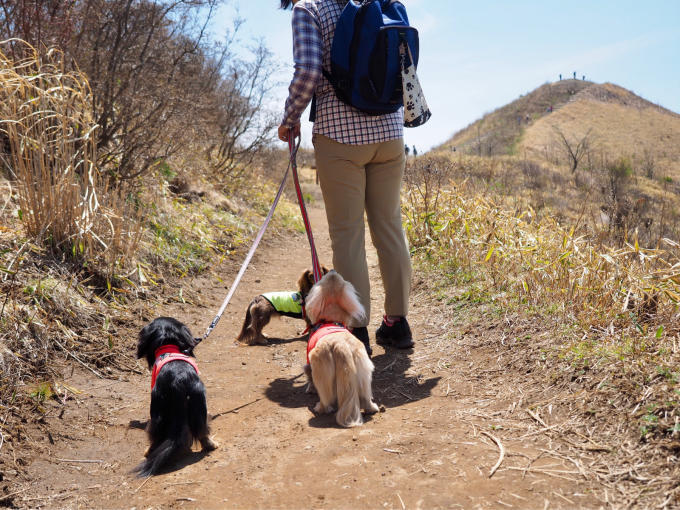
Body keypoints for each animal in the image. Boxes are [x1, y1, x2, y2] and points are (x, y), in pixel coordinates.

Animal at [304, 270, 380, 426]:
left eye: (321, 278)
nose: (332, 270)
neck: (331, 319)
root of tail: (341, 346)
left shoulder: (309, 363)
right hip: (364, 370)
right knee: (366, 396)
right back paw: (371, 408)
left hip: (321, 373)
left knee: (325, 397)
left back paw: (320, 408)